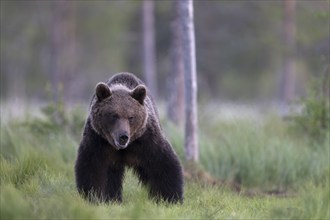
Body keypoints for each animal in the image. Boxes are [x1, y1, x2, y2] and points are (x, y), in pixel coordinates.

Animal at [74, 73, 183, 204]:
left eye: (131, 117)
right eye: (114, 115)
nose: (123, 136)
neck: (123, 148)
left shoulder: (146, 140)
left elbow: (163, 163)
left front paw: (169, 198)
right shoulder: (98, 140)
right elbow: (91, 167)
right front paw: (94, 197)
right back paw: (113, 199)